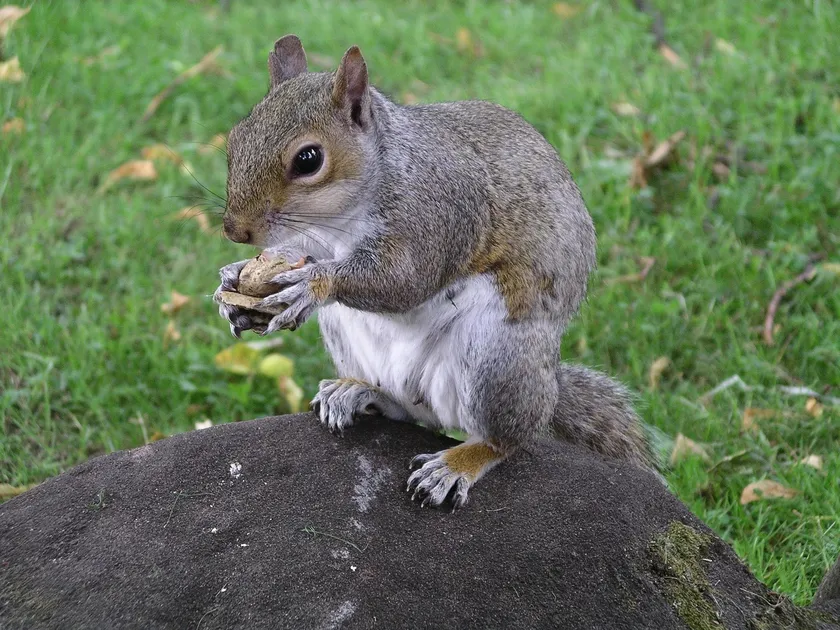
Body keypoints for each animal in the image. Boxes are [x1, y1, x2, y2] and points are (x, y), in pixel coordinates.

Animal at [214, 34, 655, 509]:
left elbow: (404, 280)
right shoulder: (313, 239)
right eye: (235, 139)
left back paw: (457, 464)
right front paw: (233, 283)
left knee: (507, 439)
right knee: (407, 411)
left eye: (309, 159)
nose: (235, 230)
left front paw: (311, 284)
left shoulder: (437, 212)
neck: (341, 218)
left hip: (497, 356)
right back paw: (359, 391)